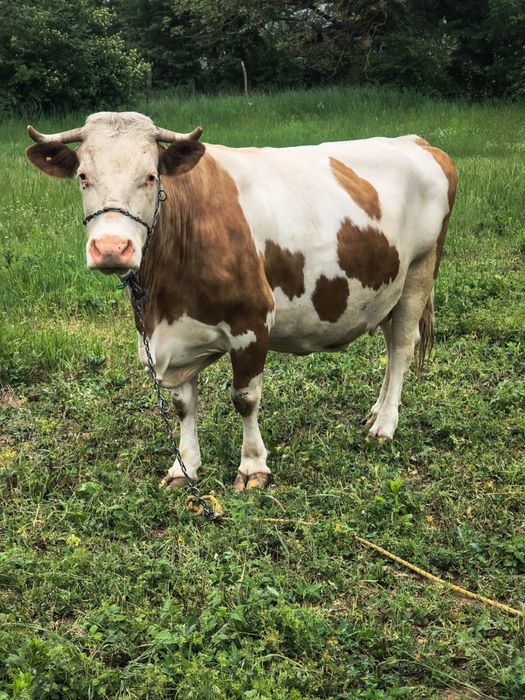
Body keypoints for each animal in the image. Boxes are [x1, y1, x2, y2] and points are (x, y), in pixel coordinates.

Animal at [26, 111, 457, 490]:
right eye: (84, 177)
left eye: (150, 176)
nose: (112, 248)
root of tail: (420, 143)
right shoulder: (171, 337)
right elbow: (183, 405)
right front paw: (185, 467)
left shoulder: (252, 321)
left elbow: (245, 399)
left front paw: (252, 467)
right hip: (386, 288)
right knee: (389, 344)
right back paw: (376, 412)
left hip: (420, 271)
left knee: (401, 347)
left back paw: (385, 425)